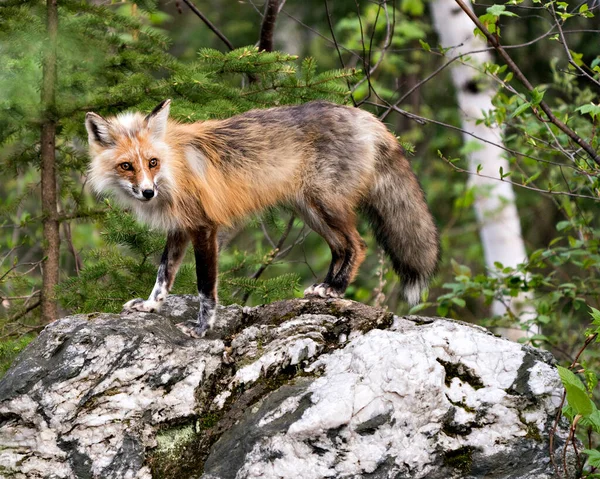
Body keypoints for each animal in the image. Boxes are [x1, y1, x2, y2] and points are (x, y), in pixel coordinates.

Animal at [84, 99, 438, 336]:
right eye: (127, 166)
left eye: (152, 162)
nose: (147, 192)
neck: (175, 170)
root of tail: (365, 115)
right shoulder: (180, 228)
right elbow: (163, 276)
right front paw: (150, 307)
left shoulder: (205, 226)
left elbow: (205, 287)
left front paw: (201, 329)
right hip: (309, 210)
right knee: (341, 247)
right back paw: (325, 288)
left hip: (325, 204)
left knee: (358, 244)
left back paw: (336, 289)